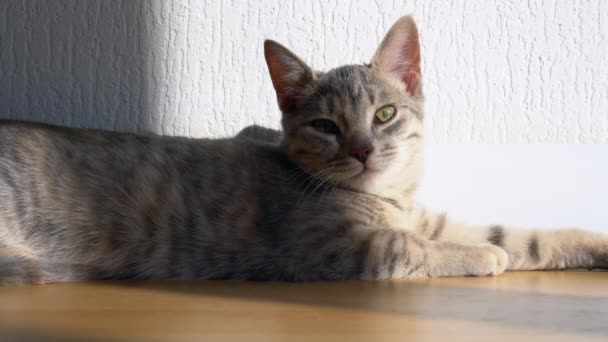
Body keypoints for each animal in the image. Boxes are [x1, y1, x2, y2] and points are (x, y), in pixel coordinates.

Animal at [1, 14, 608, 284]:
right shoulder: (331, 250)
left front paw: (592, 242)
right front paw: (481, 257)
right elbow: (410, 247)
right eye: (325, 125)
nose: (362, 150)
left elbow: (520, 235)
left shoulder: (429, 218)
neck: (388, 199)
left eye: (383, 115)